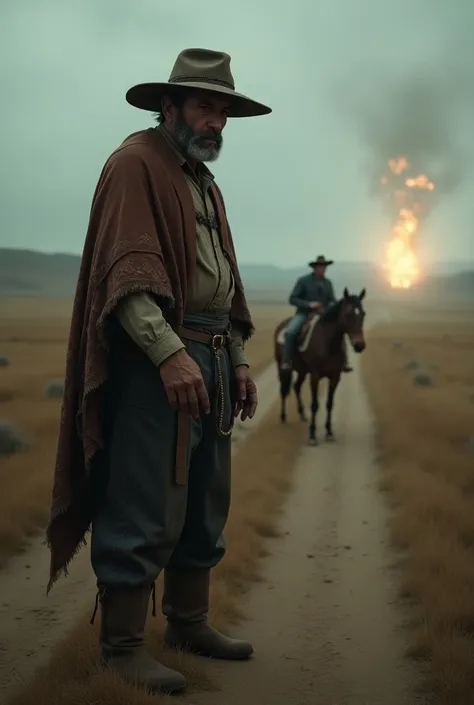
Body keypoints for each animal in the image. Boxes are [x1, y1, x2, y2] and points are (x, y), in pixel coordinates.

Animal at [274, 284, 366, 440]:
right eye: (348, 314)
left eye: (363, 314)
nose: (359, 345)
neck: (328, 344)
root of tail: (282, 325)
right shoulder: (315, 376)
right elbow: (315, 404)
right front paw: (312, 434)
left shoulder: (335, 376)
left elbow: (329, 404)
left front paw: (329, 431)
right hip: (282, 368)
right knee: (284, 390)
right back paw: (283, 416)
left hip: (302, 371)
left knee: (296, 386)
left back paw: (302, 414)